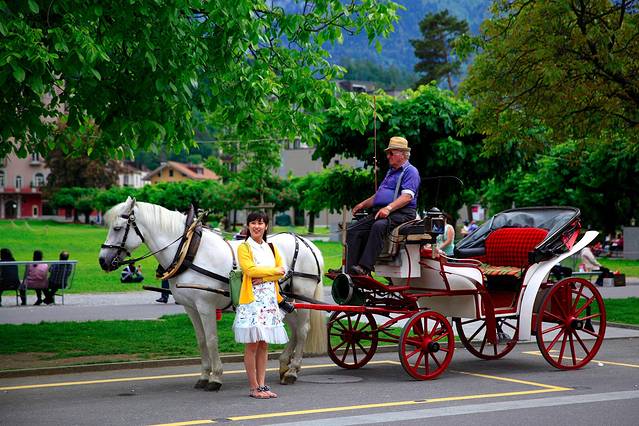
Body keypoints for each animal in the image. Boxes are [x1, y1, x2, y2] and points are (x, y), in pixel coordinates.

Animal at [98, 197, 326, 391]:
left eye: (117, 228)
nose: (102, 260)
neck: (189, 250)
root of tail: (306, 243)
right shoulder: (190, 307)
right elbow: (200, 341)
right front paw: (203, 376)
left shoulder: (205, 306)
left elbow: (211, 339)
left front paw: (215, 377)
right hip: (285, 300)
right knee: (295, 329)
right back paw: (284, 365)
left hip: (301, 291)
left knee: (303, 330)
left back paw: (293, 371)